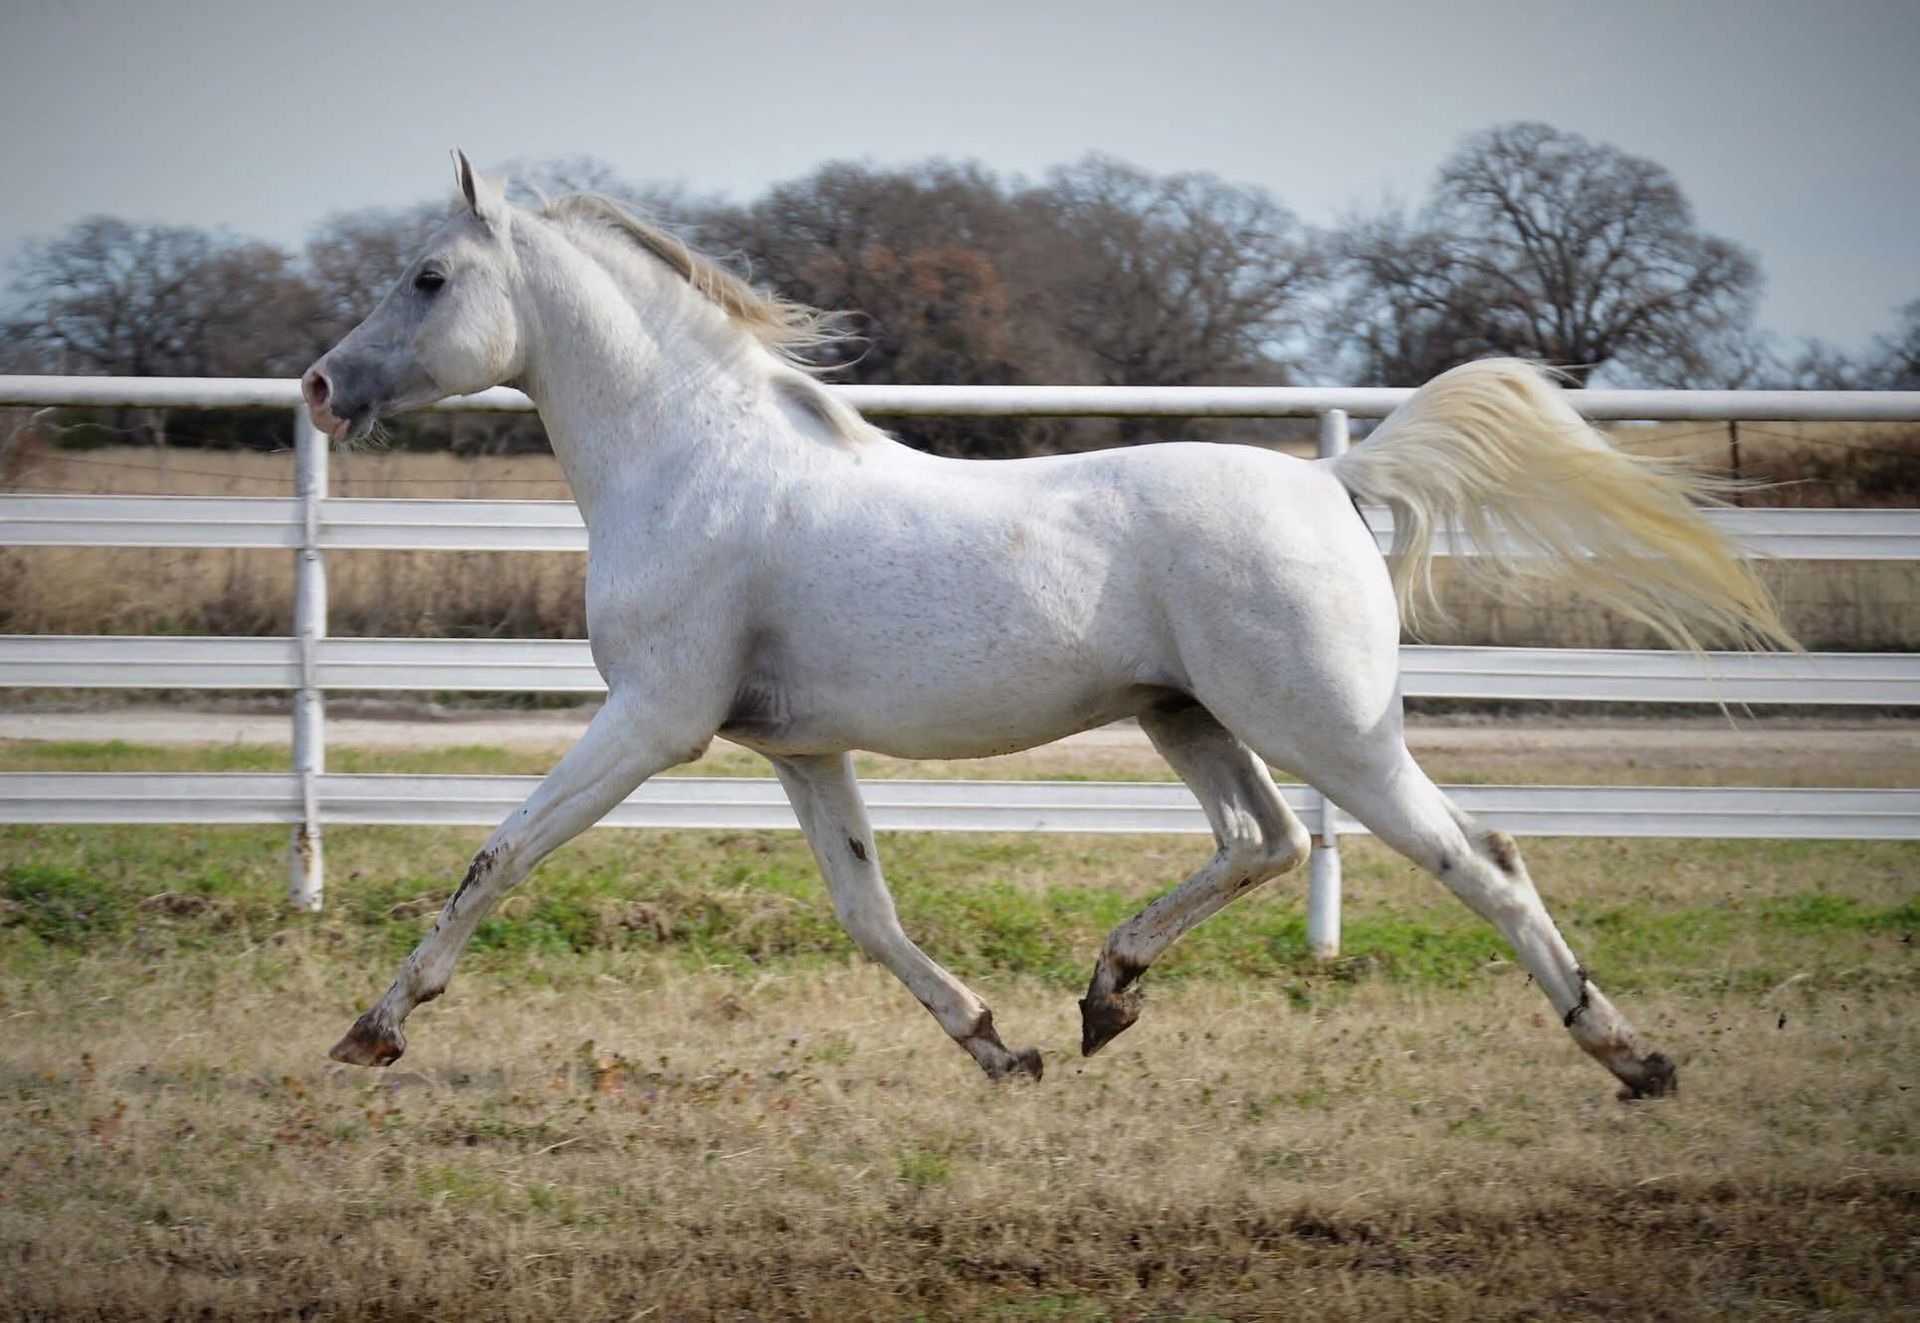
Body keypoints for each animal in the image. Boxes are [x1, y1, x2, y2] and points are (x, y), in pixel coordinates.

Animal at [304, 153, 1790, 1098]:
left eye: (428, 277)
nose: (319, 386)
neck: (692, 463)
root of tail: (1330, 478)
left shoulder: (654, 720)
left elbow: (499, 852)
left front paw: (372, 1031)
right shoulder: (799, 748)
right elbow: (867, 910)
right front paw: (997, 1045)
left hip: (1333, 729)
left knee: (1473, 855)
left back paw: (1635, 1058)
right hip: (1188, 716)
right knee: (1260, 839)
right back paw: (1104, 996)